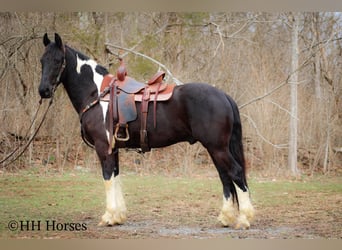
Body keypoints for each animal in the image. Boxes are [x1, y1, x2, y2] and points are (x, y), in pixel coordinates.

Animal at [38, 33, 255, 230]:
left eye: (58, 60)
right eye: (42, 61)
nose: (43, 91)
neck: (97, 94)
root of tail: (224, 95)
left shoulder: (103, 148)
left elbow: (108, 178)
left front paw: (109, 217)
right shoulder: (113, 149)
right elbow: (116, 177)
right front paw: (118, 216)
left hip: (217, 148)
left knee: (235, 173)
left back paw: (244, 219)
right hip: (215, 149)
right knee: (225, 177)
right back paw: (226, 217)